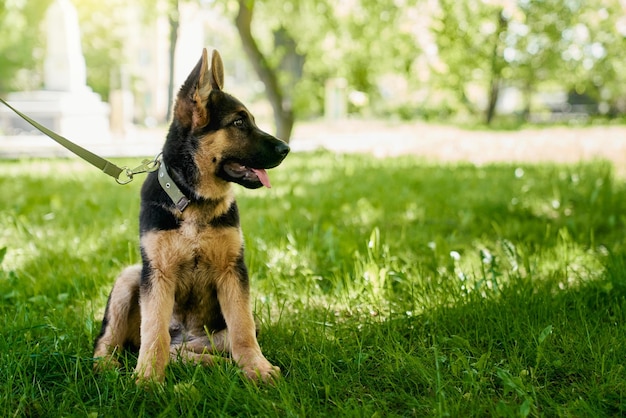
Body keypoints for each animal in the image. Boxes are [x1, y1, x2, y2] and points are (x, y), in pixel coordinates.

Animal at [94, 49, 288, 382]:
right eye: (239, 122)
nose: (286, 148)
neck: (195, 201)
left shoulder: (233, 271)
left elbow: (243, 328)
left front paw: (256, 368)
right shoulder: (157, 273)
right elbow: (154, 332)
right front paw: (147, 378)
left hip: (210, 333)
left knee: (191, 348)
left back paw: (215, 363)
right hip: (130, 277)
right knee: (111, 339)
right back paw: (107, 365)